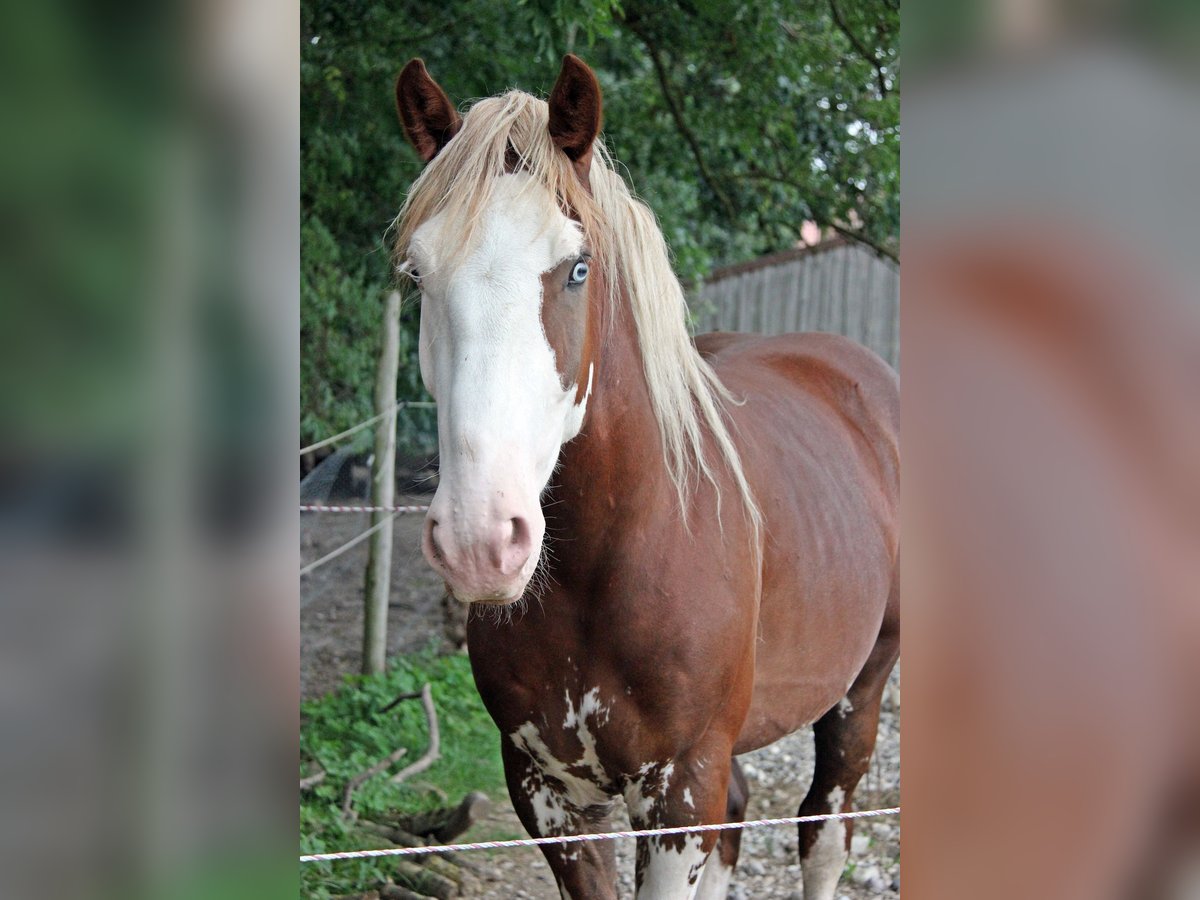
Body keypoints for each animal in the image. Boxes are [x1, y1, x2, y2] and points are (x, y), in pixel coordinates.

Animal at [393, 56, 902, 900]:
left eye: (577, 268)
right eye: (416, 277)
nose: (479, 539)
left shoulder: (679, 792)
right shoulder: (548, 794)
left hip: (861, 689)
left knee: (824, 833)